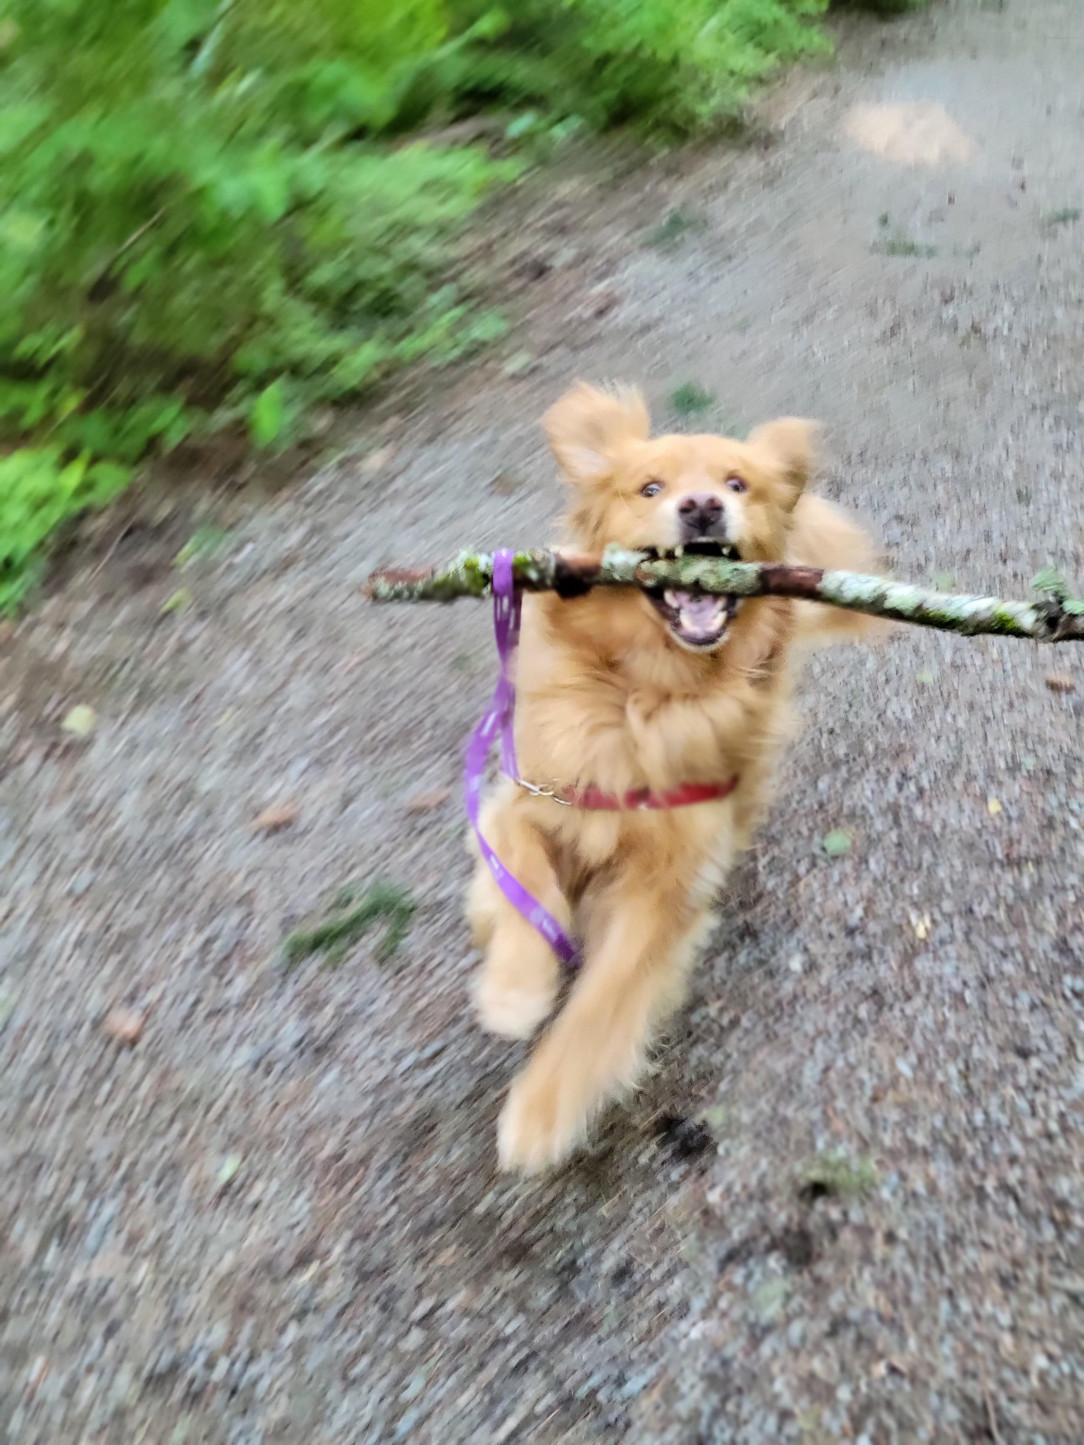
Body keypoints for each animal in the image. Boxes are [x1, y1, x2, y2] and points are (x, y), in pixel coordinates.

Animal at [468, 384, 884, 1173]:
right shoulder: (523, 796)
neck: (650, 697)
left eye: (738, 484)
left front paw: (544, 1107)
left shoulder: (664, 886)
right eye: (650, 489)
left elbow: (602, 1002)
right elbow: (525, 883)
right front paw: (514, 991)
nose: (700, 507)